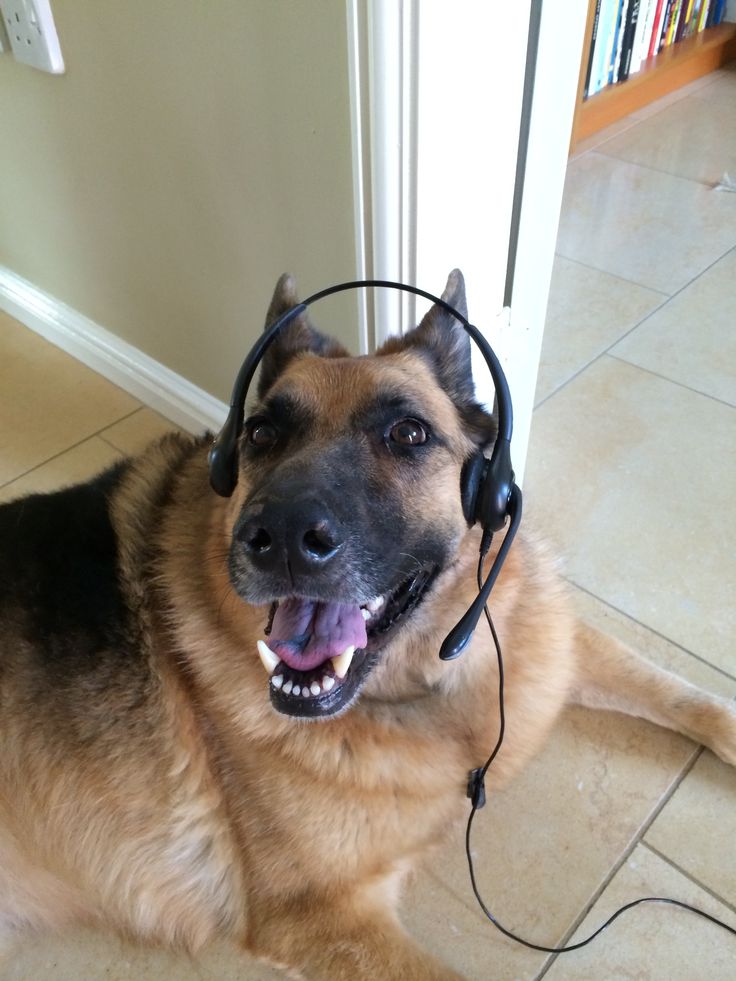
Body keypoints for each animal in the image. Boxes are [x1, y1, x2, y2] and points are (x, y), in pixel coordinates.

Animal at [0, 270, 732, 980]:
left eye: (408, 434)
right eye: (261, 435)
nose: (280, 538)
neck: (430, 683)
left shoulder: (552, 646)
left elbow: (678, 691)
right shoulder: (329, 918)